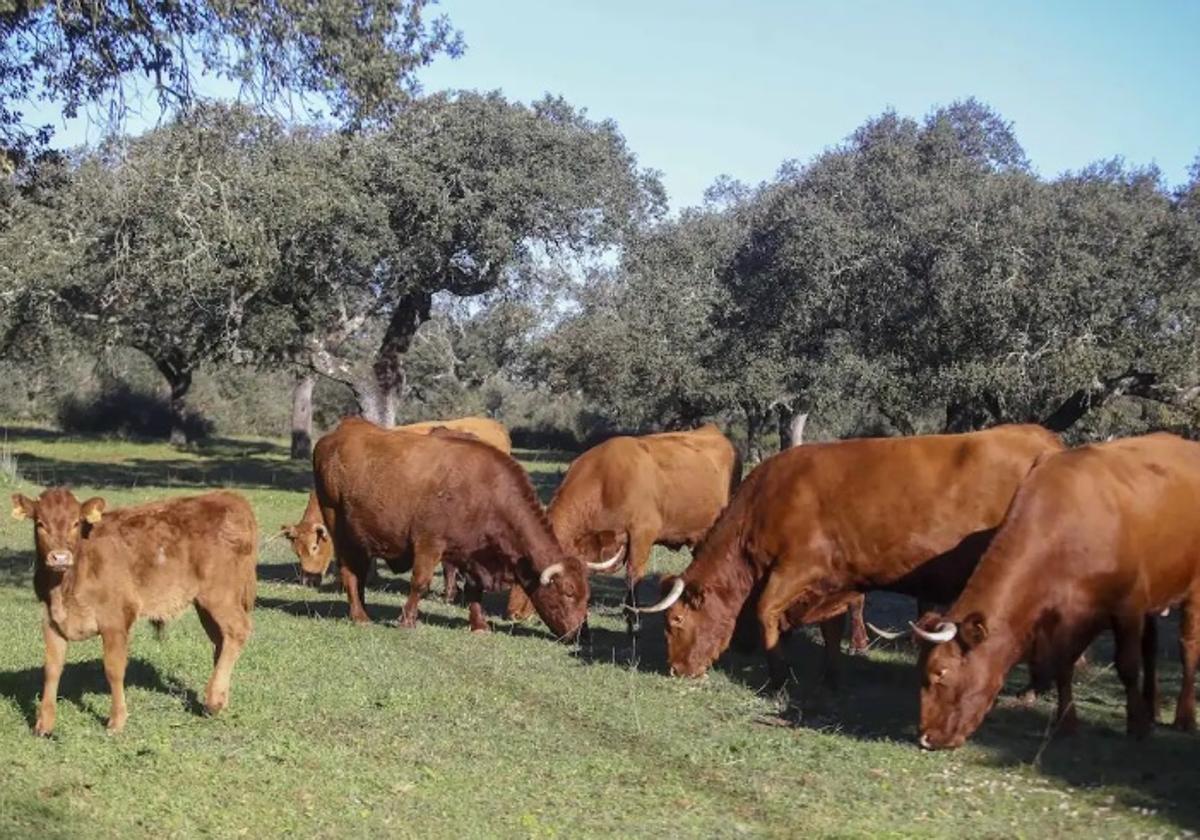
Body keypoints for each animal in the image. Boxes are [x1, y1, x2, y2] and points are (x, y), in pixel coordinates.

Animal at [9, 489, 258, 729]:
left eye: (76, 523)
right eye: (40, 523)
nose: (60, 557)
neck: (65, 586)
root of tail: (229, 498)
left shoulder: (115, 619)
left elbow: (114, 669)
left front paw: (116, 721)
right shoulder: (52, 621)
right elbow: (51, 669)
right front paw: (44, 724)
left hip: (220, 596)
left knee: (238, 631)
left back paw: (214, 699)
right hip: (205, 605)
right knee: (221, 640)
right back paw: (219, 699)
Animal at [309, 417, 590, 638]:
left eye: (587, 595)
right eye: (568, 592)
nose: (580, 633)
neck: (486, 492)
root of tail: (340, 432)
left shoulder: (474, 554)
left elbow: (474, 590)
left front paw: (479, 625)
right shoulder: (429, 544)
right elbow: (420, 582)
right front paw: (407, 620)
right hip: (340, 529)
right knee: (349, 572)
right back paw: (360, 616)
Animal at [643, 427, 1065, 691]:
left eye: (675, 621)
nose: (677, 670)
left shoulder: (797, 568)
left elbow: (766, 613)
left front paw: (779, 676)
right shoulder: (832, 582)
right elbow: (832, 627)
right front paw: (831, 678)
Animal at [912, 432, 1200, 748]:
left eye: (941, 673)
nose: (926, 736)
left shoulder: (1128, 605)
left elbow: (1127, 664)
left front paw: (1137, 725)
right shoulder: (1064, 615)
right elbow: (1063, 664)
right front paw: (1067, 722)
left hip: (1193, 590)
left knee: (1188, 647)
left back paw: (1184, 716)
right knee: (1151, 646)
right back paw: (1152, 707)